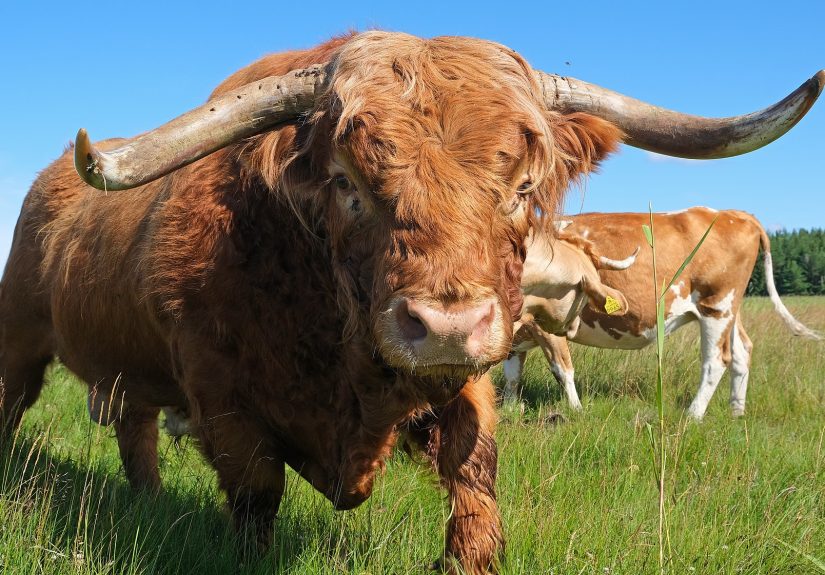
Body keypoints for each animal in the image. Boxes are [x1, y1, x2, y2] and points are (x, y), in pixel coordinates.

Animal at [502, 207, 822, 420]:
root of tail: (733, 213)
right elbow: (512, 374)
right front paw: (508, 409)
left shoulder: (542, 325)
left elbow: (562, 369)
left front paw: (576, 411)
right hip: (731, 310)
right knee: (743, 351)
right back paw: (736, 411)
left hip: (716, 306)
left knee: (716, 360)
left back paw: (693, 415)